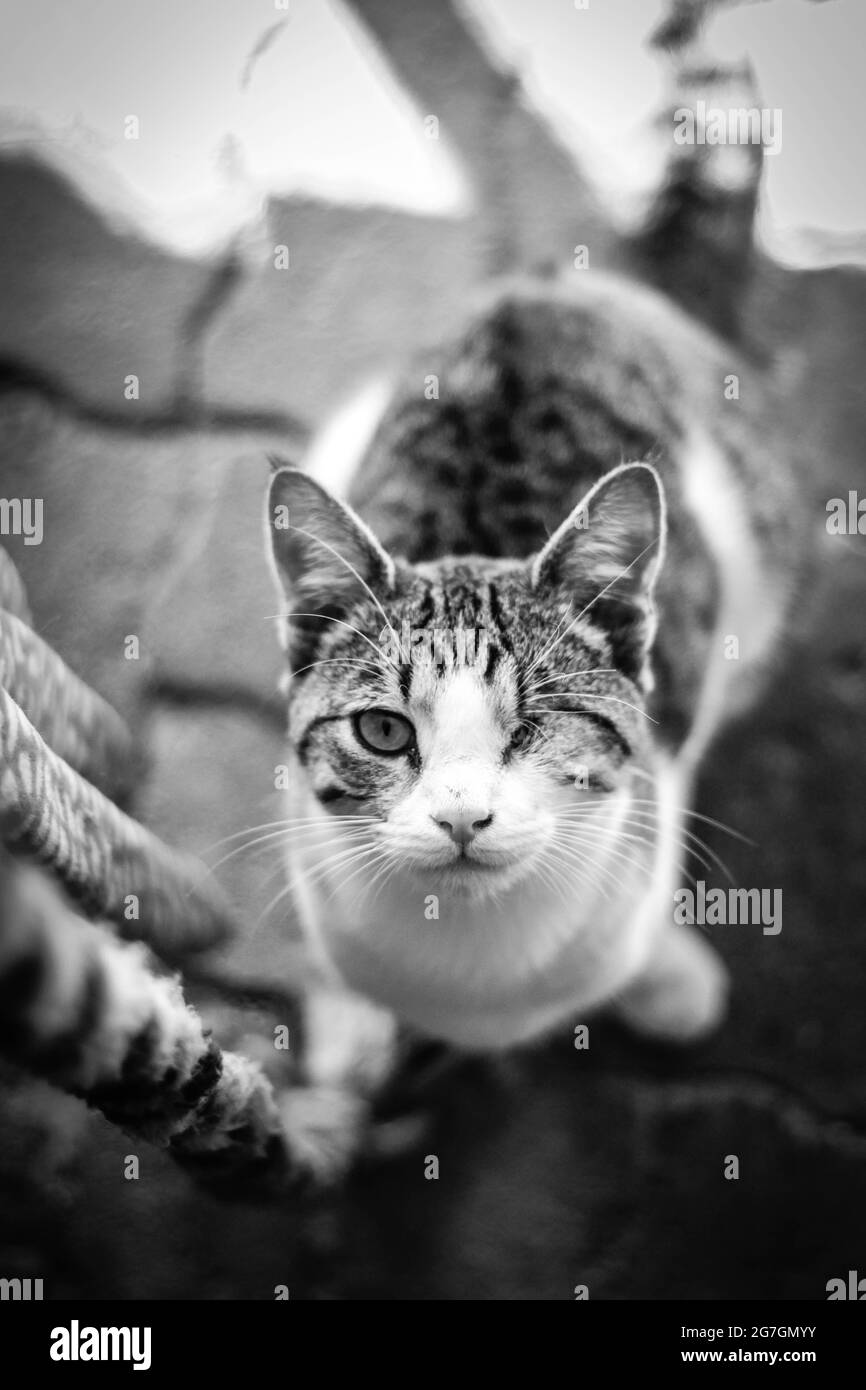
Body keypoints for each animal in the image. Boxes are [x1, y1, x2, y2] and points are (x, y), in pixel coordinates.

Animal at [265, 261, 800, 1128]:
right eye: (384, 732)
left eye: (537, 724)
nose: (461, 818)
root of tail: (543, 286)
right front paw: (352, 1029)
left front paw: (665, 974)